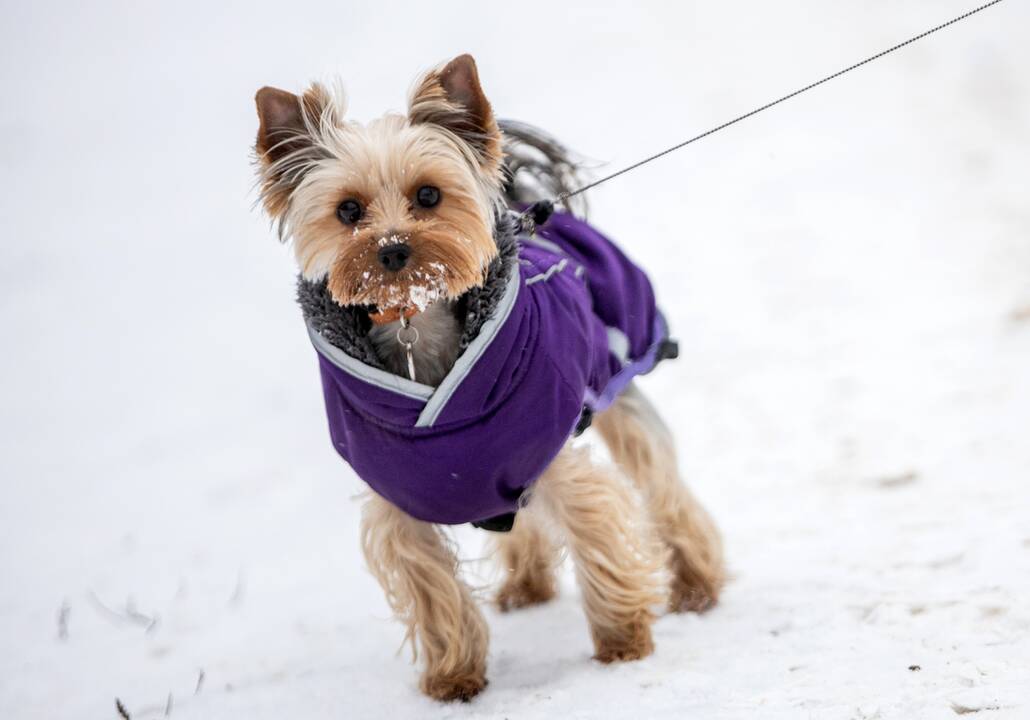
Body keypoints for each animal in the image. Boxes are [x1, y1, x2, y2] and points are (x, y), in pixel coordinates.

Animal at [251, 53, 725, 700]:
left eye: (428, 194)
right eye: (348, 210)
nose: (393, 250)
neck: (416, 323)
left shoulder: (550, 451)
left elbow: (599, 537)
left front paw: (623, 645)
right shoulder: (402, 505)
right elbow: (433, 592)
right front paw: (454, 678)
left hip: (619, 387)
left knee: (662, 486)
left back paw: (697, 586)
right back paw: (527, 587)